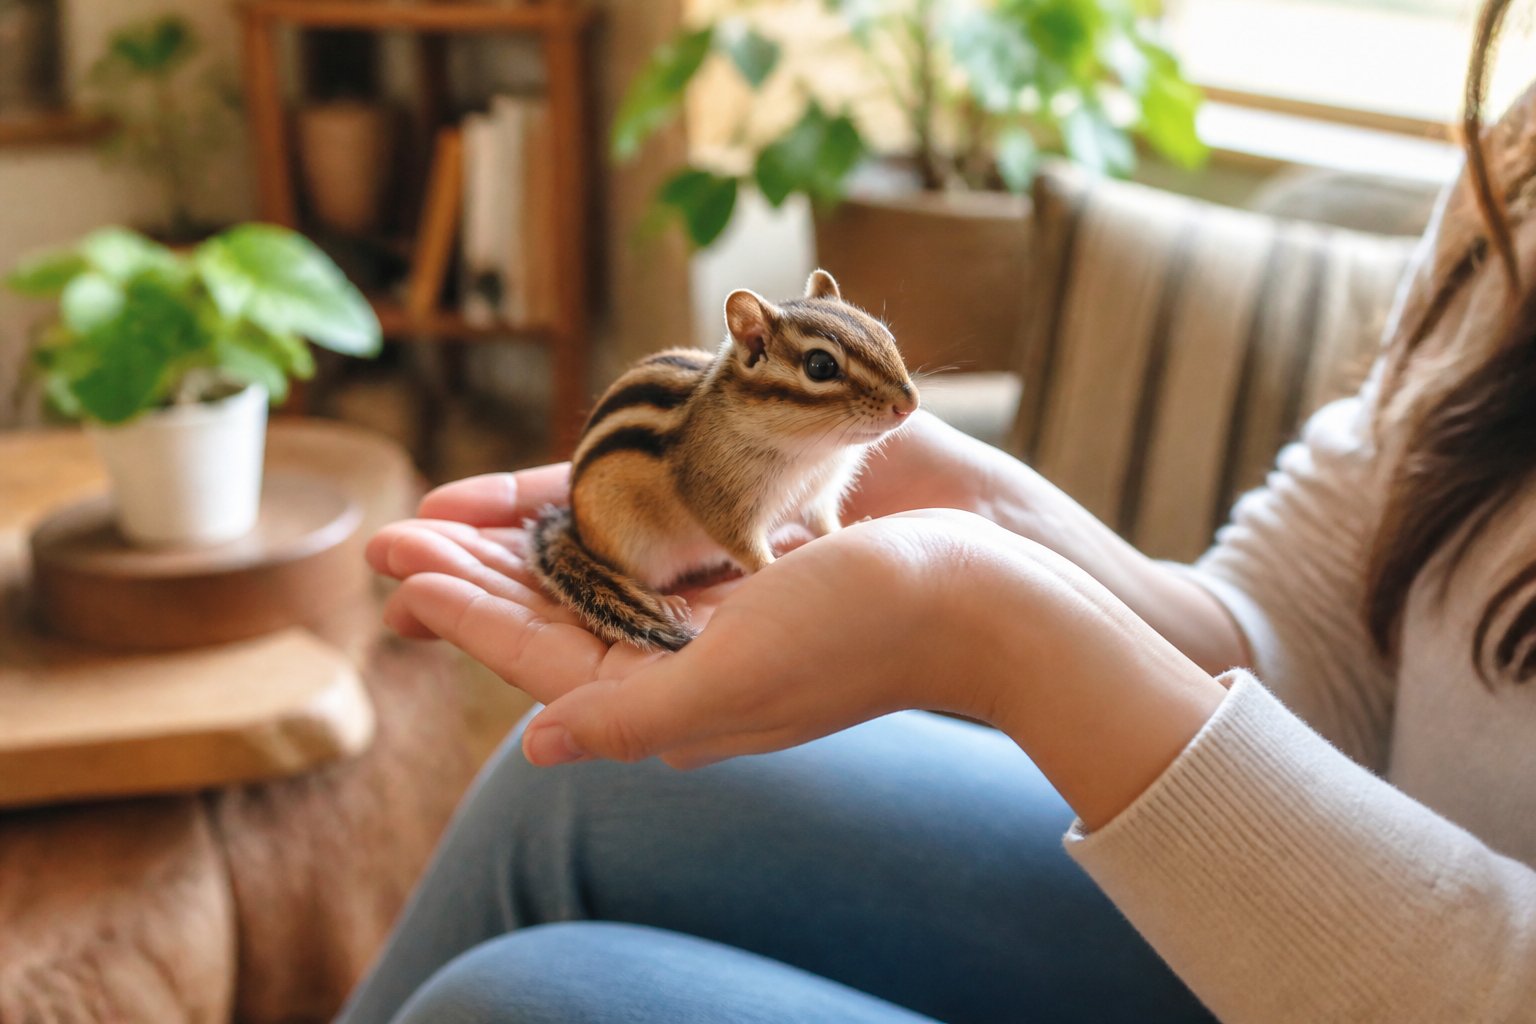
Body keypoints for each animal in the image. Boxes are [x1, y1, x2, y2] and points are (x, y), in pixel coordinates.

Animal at [529, 269, 920, 651]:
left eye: (884, 333)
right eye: (820, 366)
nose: (910, 403)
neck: (812, 451)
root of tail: (576, 524)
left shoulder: (818, 495)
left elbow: (822, 523)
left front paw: (848, 529)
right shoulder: (719, 502)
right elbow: (742, 545)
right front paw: (770, 566)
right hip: (628, 542)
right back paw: (663, 599)